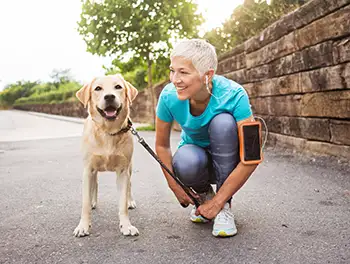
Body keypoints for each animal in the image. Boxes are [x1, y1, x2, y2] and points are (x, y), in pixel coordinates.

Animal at [73, 73, 139, 237]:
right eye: (98, 88)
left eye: (118, 87)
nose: (109, 96)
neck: (108, 132)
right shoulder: (88, 169)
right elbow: (84, 203)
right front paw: (83, 226)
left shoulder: (122, 170)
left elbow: (122, 203)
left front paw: (126, 225)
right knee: (94, 183)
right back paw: (93, 201)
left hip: (129, 168)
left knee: (129, 185)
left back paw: (130, 201)